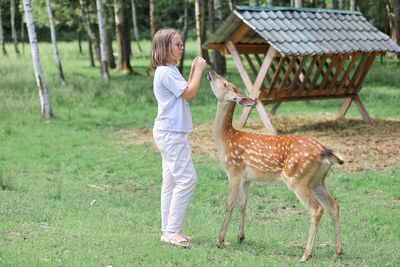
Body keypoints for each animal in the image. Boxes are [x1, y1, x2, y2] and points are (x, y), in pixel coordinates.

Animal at [206, 70, 344, 264]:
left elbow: (229, 204)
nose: (211, 71)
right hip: (318, 180)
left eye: (226, 84)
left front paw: (220, 240)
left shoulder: (234, 171)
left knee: (317, 209)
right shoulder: (247, 178)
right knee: (334, 206)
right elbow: (243, 204)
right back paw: (338, 252)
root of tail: (326, 153)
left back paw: (306, 255)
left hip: (297, 178)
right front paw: (240, 237)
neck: (226, 139)